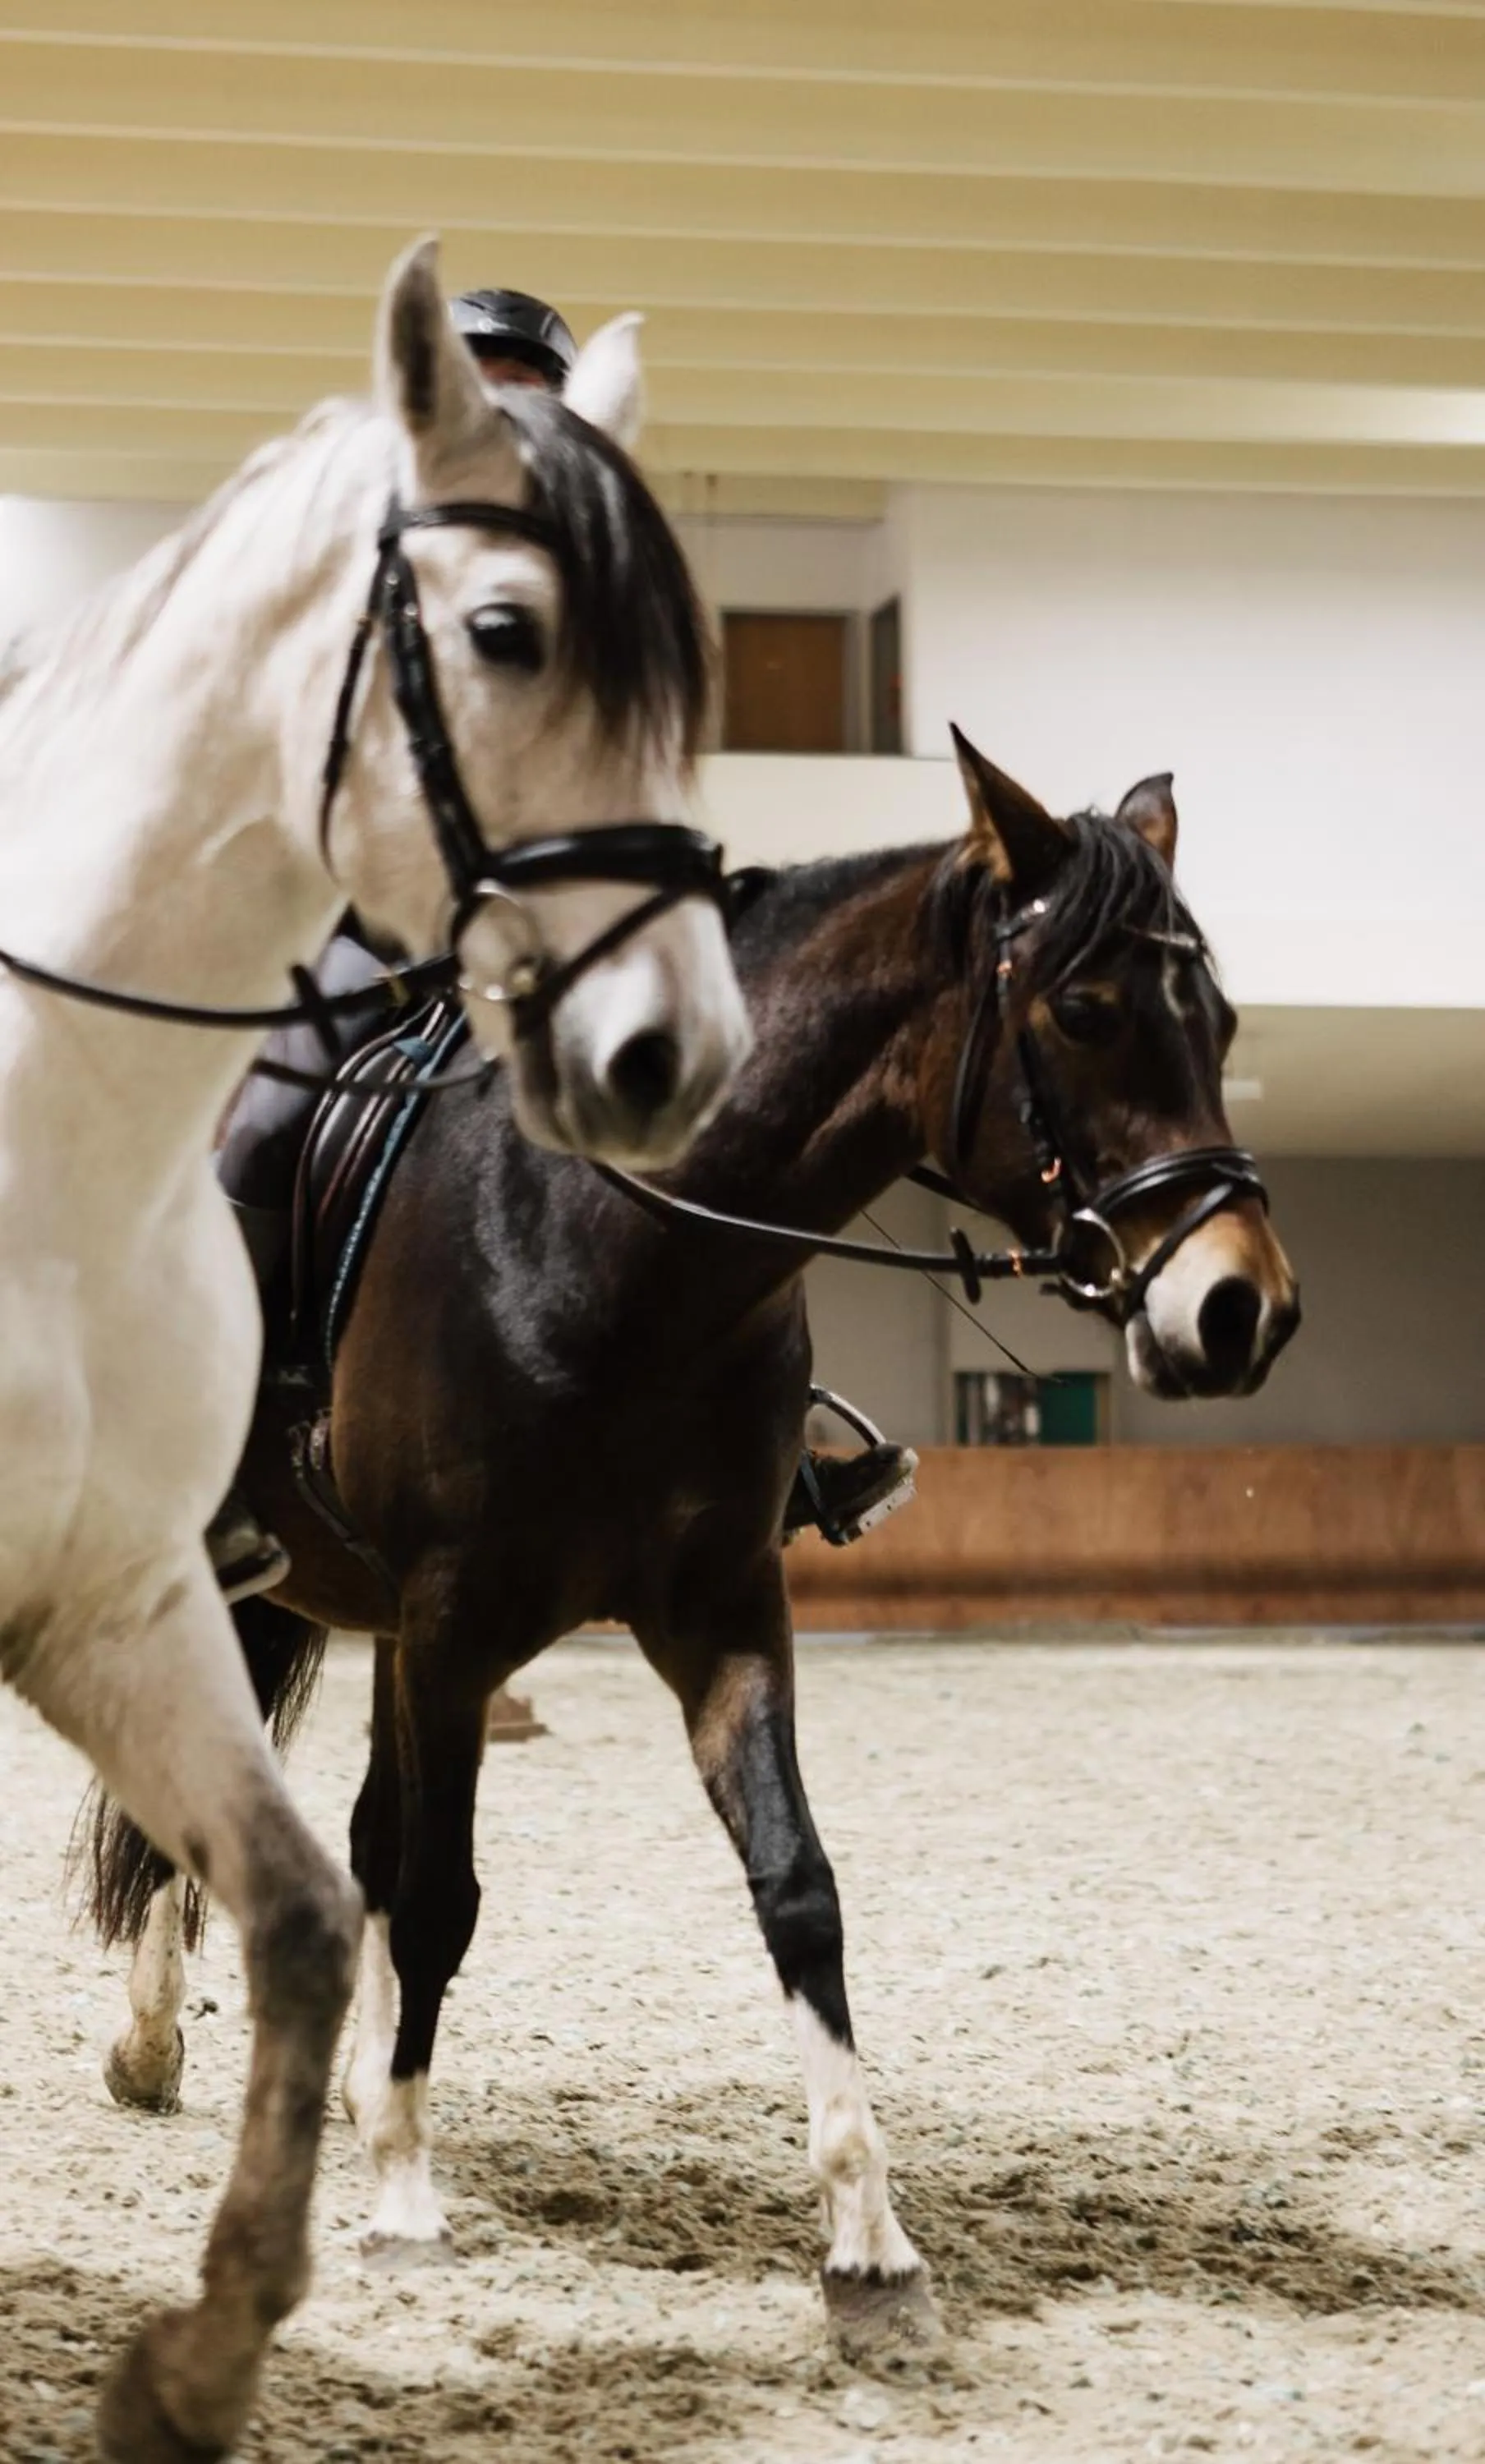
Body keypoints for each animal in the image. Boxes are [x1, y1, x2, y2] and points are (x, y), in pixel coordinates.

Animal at [87, 732, 1299, 2368]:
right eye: (1088, 1010)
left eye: (1219, 1019)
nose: (1242, 1309)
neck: (621, 1254)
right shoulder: (459, 1620)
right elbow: (446, 1886)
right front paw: (402, 2195)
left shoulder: (717, 1610)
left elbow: (796, 1887)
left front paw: (869, 2244)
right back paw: (163, 2049)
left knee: (347, 1834)